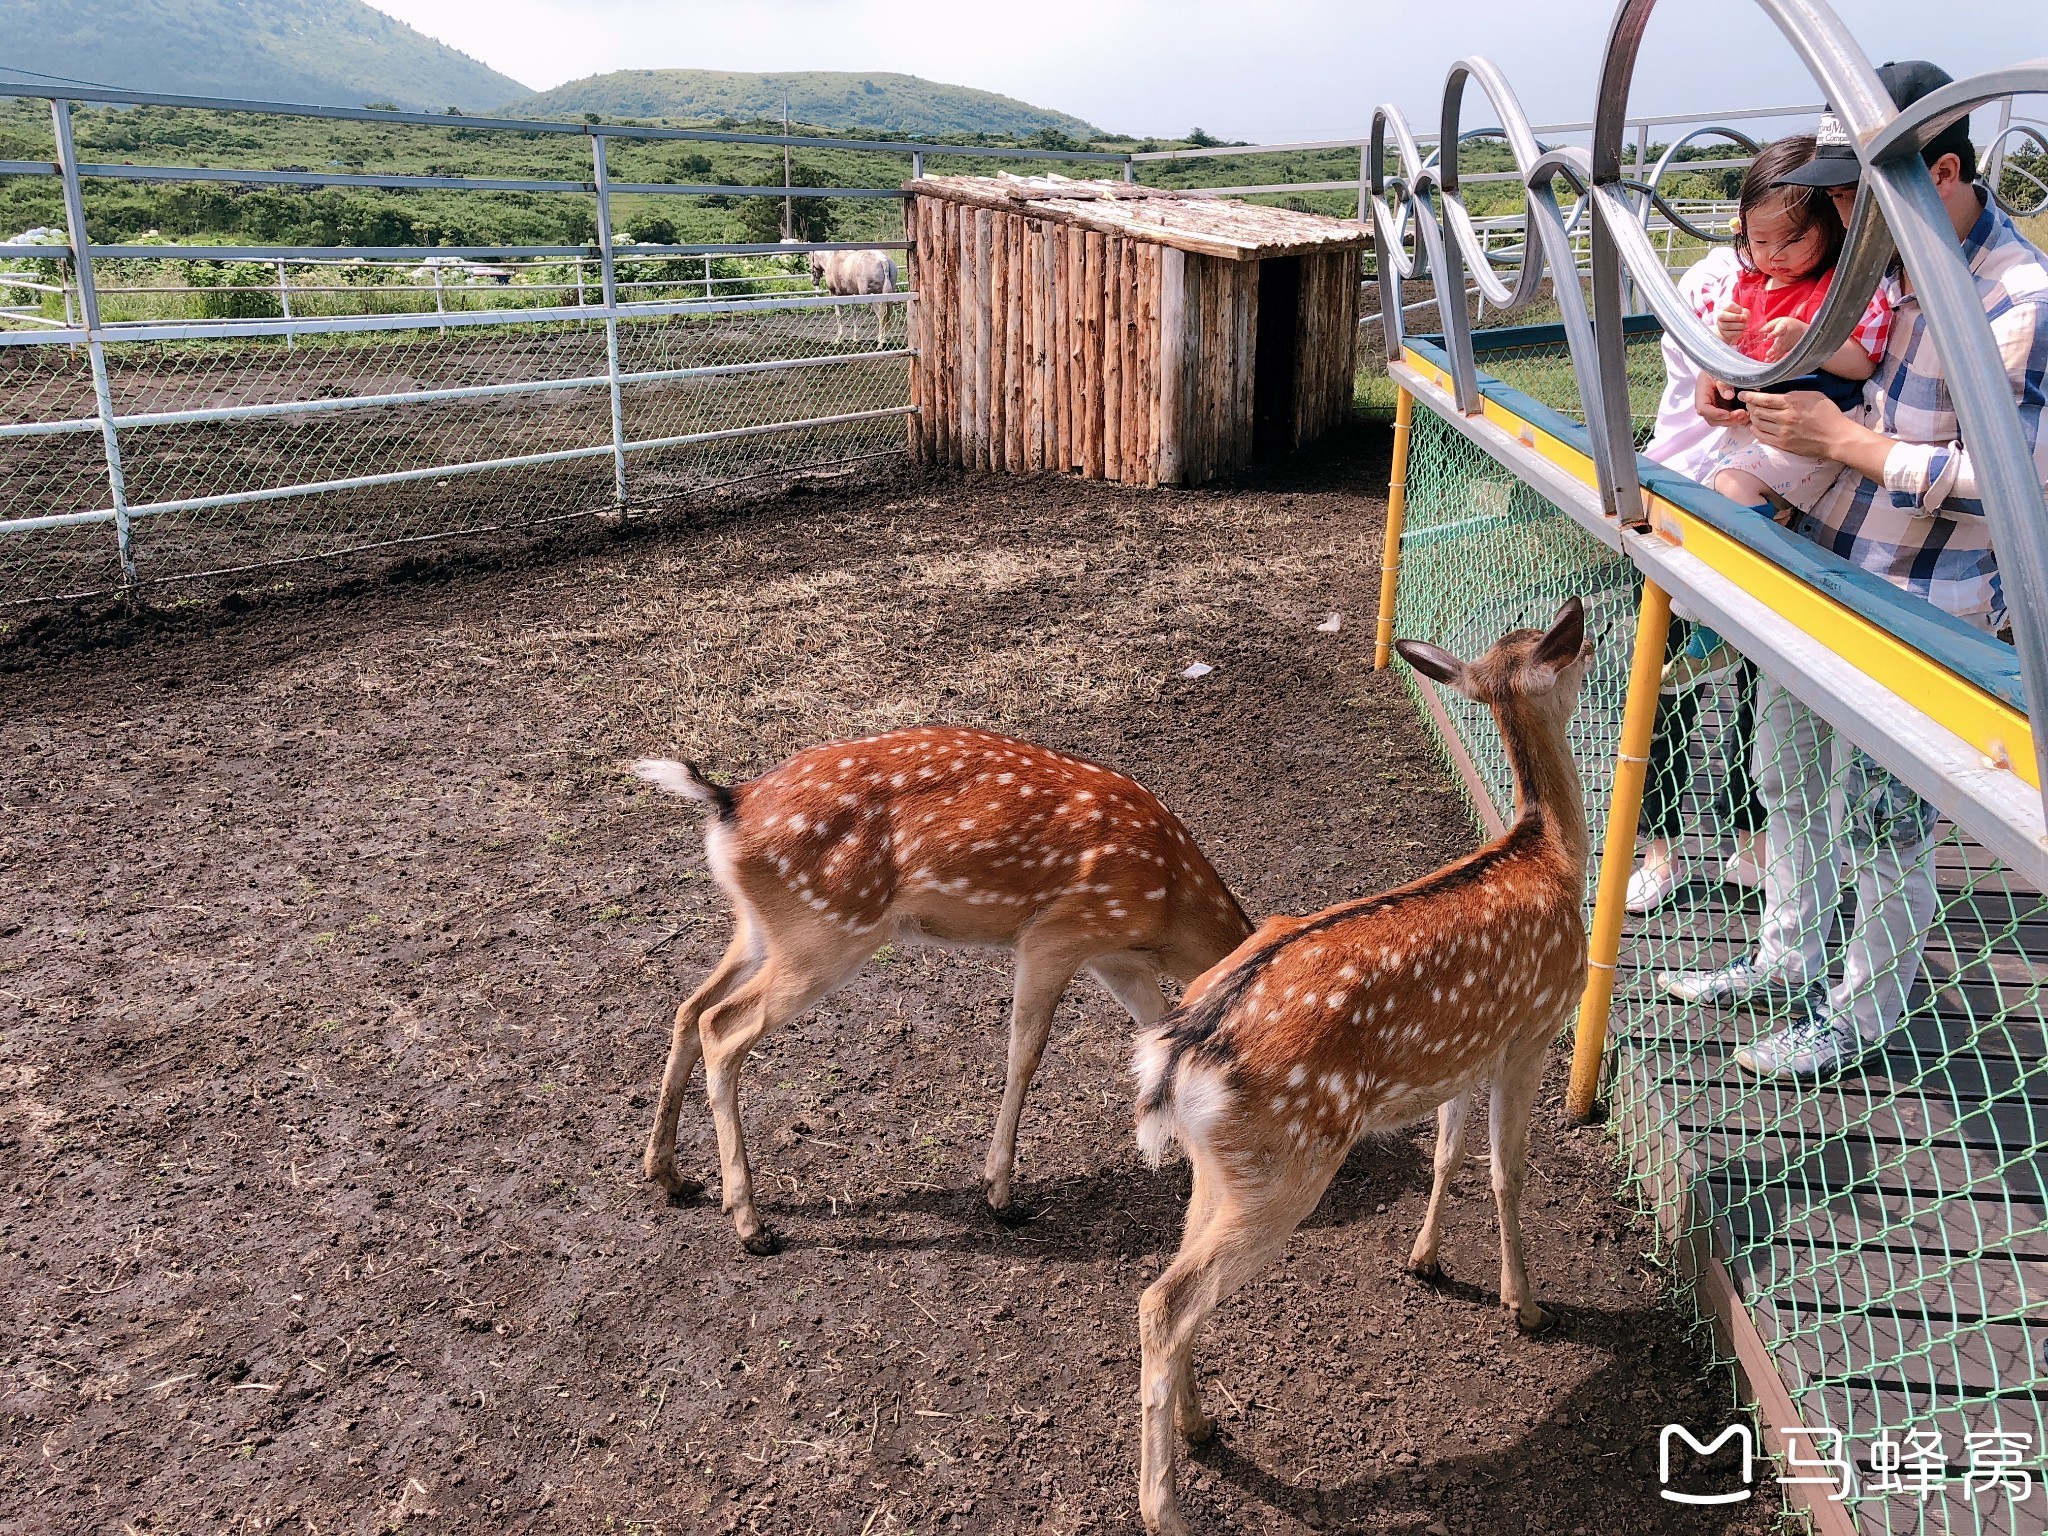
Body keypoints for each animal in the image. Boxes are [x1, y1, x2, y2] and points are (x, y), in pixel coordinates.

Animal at [630, 729, 1253, 1253]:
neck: (1169, 909)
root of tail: (728, 800)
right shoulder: (1057, 935)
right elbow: (1026, 1052)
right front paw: (999, 1194)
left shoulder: (1113, 956)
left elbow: (1159, 1029)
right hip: (826, 933)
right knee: (722, 1024)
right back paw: (751, 1226)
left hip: (762, 929)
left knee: (689, 1007)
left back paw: (669, 1176)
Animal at [1130, 602, 1589, 1536]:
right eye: (1563, 652)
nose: (1592, 635)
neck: (1552, 852)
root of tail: (1179, 1053)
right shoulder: (1532, 1030)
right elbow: (1509, 1169)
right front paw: (1524, 1305)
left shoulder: (1465, 1055)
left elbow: (1449, 1152)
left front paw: (1425, 1260)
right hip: (1292, 1161)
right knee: (1165, 1301)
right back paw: (1165, 1506)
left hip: (1222, 1165)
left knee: (1176, 1279)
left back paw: (1201, 1425)